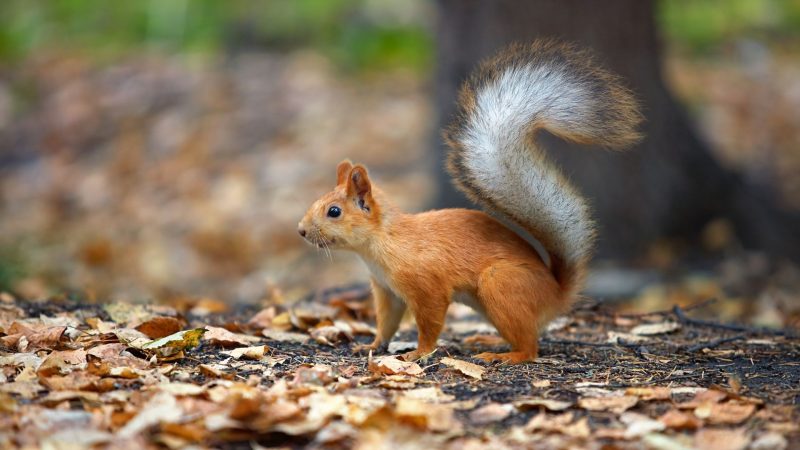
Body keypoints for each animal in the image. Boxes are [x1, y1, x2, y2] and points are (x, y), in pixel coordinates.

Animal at [296, 40, 640, 364]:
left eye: (334, 211)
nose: (301, 230)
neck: (381, 243)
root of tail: (556, 294)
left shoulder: (425, 283)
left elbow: (430, 321)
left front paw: (418, 353)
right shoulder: (387, 292)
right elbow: (387, 323)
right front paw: (371, 345)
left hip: (499, 284)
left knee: (530, 346)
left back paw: (505, 355)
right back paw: (486, 340)